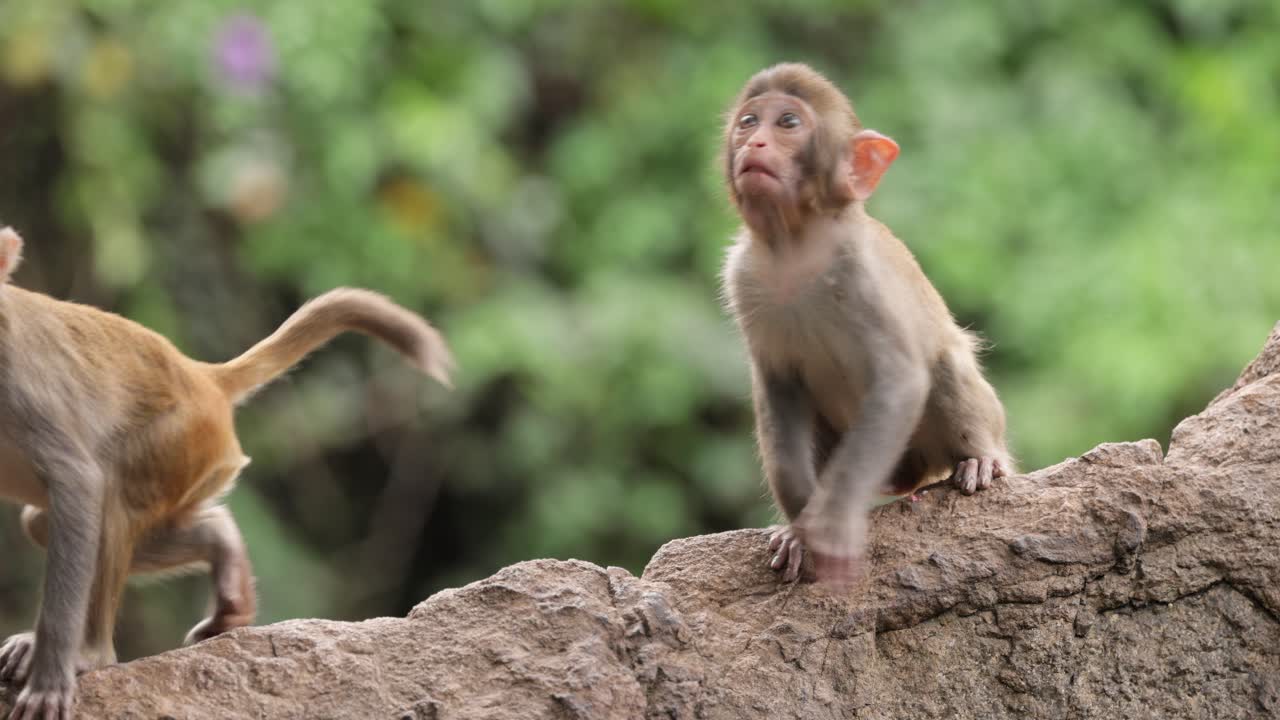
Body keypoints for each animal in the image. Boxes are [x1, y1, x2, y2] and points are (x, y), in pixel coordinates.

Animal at [0, 227, 453, 720]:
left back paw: (89, 653)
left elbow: (78, 482)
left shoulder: (19, 382)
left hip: (182, 437)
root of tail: (202, 375)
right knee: (44, 523)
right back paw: (221, 543)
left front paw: (50, 680)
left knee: (110, 496)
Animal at [719, 64, 1014, 585]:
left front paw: (834, 522)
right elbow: (778, 387)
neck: (795, 248)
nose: (754, 142)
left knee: (944, 365)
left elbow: (901, 379)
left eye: (788, 123)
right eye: (748, 121)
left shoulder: (863, 275)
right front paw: (801, 526)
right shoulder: (743, 277)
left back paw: (981, 457)